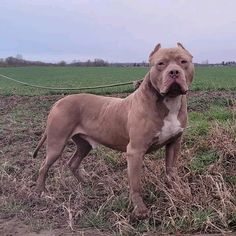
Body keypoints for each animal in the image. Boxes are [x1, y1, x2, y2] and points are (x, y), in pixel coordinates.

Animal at [33, 42, 194, 219]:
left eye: (183, 61)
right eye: (161, 63)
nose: (174, 72)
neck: (169, 101)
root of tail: (59, 101)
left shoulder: (174, 143)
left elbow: (171, 170)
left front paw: (177, 190)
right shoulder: (135, 151)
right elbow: (136, 183)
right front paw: (140, 209)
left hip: (84, 144)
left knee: (73, 162)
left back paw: (86, 184)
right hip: (57, 143)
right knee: (44, 166)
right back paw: (41, 193)